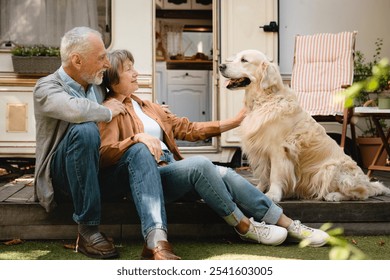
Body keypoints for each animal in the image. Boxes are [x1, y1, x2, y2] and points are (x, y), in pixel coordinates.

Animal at [219, 48, 390, 201]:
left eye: (244, 60)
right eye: (236, 57)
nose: (221, 66)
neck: (265, 100)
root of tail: (367, 182)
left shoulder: (278, 149)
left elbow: (275, 174)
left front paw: (273, 195)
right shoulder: (261, 149)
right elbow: (264, 175)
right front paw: (258, 190)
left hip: (330, 168)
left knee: (360, 192)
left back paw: (334, 195)